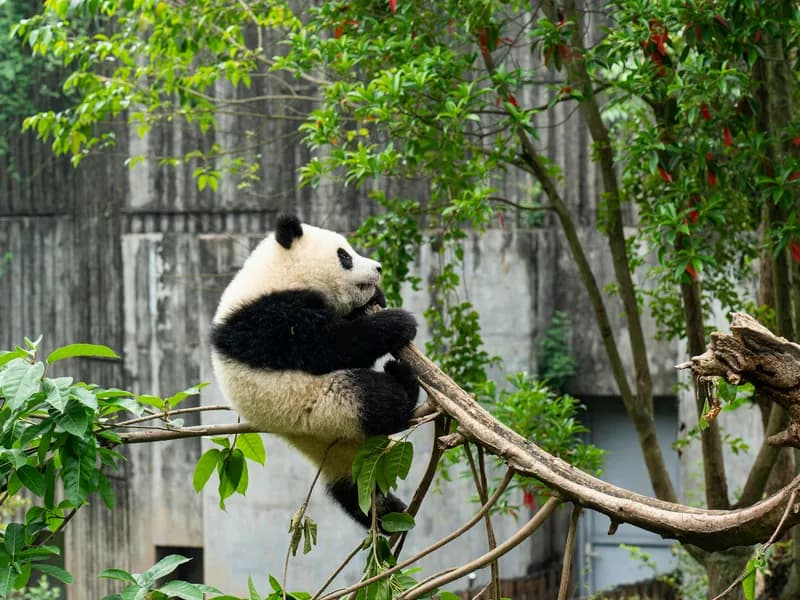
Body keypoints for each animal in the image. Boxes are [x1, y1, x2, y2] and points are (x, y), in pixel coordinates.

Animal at [210, 214, 420, 528]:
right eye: (345, 256)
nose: (378, 268)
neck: (275, 275)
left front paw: (377, 297)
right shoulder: (266, 320)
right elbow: (325, 346)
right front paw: (397, 323)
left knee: (350, 489)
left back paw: (384, 509)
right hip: (329, 406)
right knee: (380, 399)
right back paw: (403, 380)